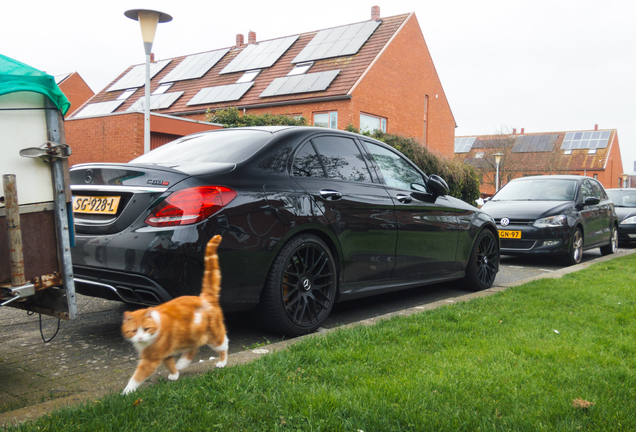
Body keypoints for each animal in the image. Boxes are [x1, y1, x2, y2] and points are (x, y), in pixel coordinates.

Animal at [120, 235, 227, 394]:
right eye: (133, 331)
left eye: (146, 329)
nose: (139, 337)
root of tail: (203, 297)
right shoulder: (164, 353)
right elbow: (169, 363)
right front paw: (175, 374)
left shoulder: (151, 359)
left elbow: (138, 376)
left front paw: (126, 392)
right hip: (192, 335)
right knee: (193, 349)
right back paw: (181, 364)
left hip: (213, 337)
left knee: (224, 345)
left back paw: (222, 362)